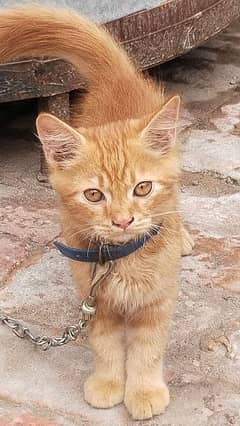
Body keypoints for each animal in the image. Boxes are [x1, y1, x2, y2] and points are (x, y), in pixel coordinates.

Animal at [0, 5, 193, 422]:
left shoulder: (156, 301)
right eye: (93, 195)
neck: (122, 259)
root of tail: (116, 77)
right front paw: (107, 383)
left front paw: (144, 391)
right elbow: (105, 345)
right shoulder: (94, 299)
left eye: (142, 188)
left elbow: (147, 349)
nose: (122, 220)